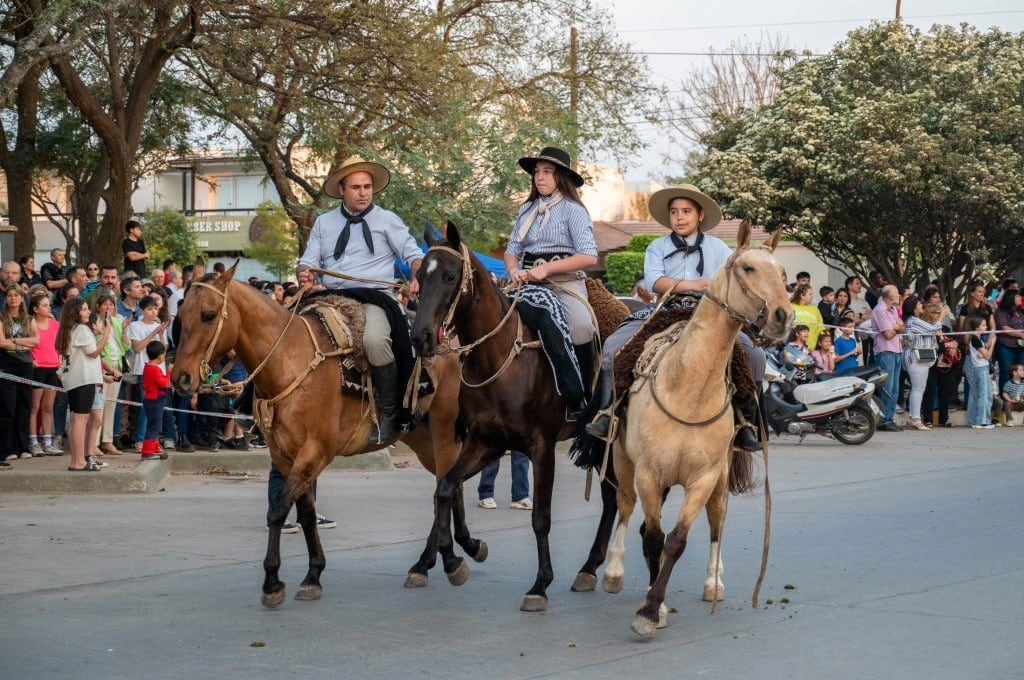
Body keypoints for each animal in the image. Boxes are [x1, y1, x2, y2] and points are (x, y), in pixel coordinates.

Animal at [169, 264, 485, 606]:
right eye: (181, 316)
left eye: (209, 315)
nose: (180, 378)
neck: (287, 361)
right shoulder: (285, 455)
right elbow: (305, 513)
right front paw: (313, 574)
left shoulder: (315, 451)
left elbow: (278, 509)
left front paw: (272, 582)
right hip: (421, 437)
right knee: (449, 486)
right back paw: (432, 561)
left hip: (443, 431)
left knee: (445, 488)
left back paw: (452, 557)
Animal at [409, 225, 585, 614]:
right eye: (419, 276)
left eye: (449, 276)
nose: (420, 337)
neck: (499, 356)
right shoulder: (485, 442)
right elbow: (446, 489)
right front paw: (456, 556)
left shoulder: (542, 447)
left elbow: (540, 517)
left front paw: (540, 584)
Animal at [602, 222, 794, 639]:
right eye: (748, 268)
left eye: (783, 273)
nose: (782, 316)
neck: (688, 388)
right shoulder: (648, 473)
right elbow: (653, 537)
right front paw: (651, 610)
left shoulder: (703, 477)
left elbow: (675, 540)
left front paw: (651, 608)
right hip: (624, 464)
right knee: (625, 508)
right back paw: (613, 572)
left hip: (719, 478)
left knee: (716, 519)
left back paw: (713, 582)